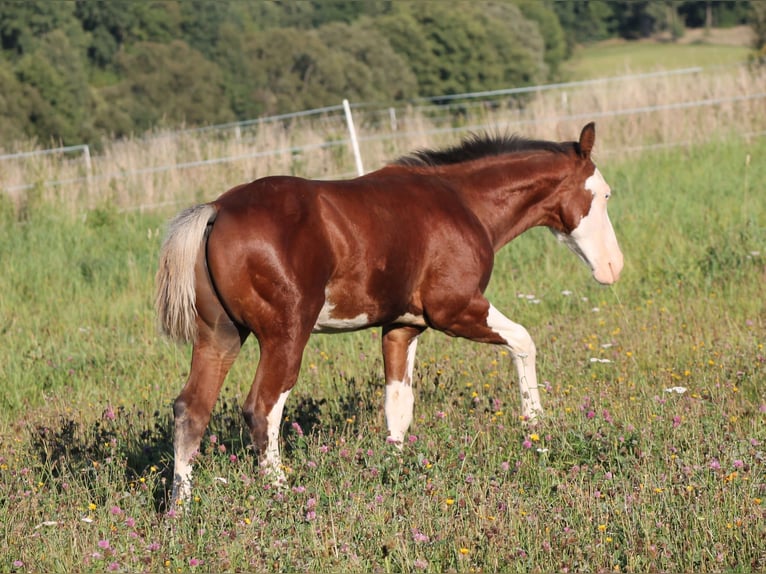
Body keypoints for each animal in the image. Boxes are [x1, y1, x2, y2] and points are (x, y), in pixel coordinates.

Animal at [156, 122, 623, 508]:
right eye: (603, 195)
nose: (613, 267)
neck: (461, 202)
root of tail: (216, 210)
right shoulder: (455, 308)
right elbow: (524, 340)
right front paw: (537, 426)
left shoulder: (402, 326)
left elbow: (399, 404)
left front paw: (396, 469)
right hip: (285, 336)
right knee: (262, 408)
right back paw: (283, 493)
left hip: (220, 336)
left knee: (191, 410)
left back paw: (181, 507)